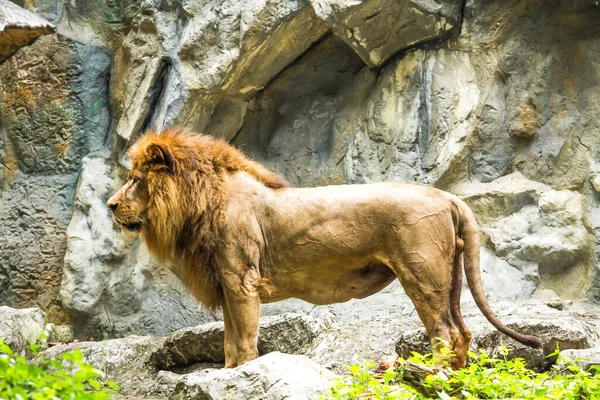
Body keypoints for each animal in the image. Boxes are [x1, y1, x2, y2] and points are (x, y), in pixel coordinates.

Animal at [108, 127, 544, 368]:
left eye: (135, 180)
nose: (110, 205)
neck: (200, 202)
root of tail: (448, 196)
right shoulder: (226, 283)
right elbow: (229, 342)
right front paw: (228, 374)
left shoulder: (241, 281)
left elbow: (245, 341)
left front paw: (243, 373)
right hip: (448, 277)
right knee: (465, 332)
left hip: (422, 275)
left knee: (445, 333)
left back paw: (435, 376)